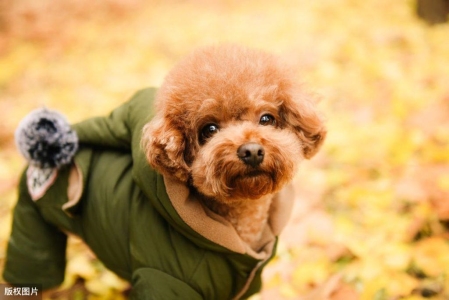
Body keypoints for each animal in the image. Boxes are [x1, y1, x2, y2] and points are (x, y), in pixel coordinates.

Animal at [3, 45, 326, 300]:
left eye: (267, 119)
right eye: (209, 130)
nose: (251, 151)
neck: (238, 229)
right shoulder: (162, 280)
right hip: (31, 228)